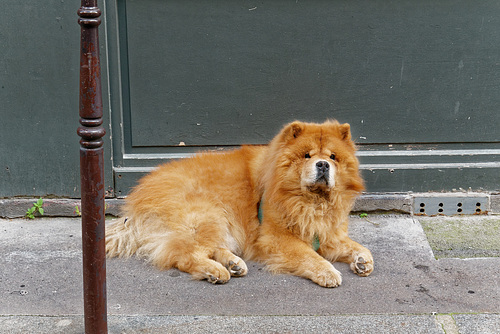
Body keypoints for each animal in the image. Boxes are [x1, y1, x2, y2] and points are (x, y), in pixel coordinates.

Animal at [105, 120, 374, 288]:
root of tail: (137, 197)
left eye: (333, 157)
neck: (312, 201)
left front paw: (362, 260)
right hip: (208, 214)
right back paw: (215, 271)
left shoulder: (327, 232)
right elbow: (309, 256)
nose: (323, 165)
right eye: (307, 155)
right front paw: (328, 272)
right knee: (181, 254)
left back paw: (233, 263)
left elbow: (354, 246)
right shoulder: (276, 238)